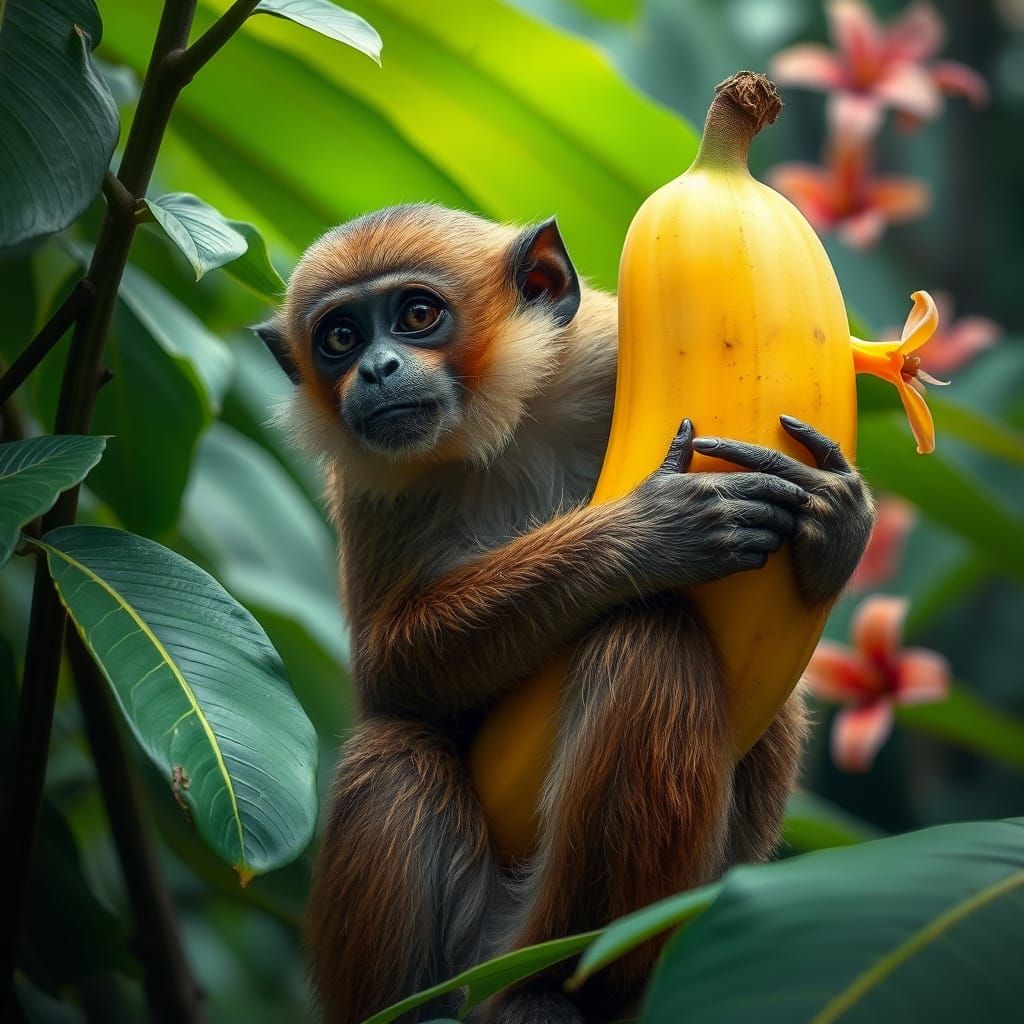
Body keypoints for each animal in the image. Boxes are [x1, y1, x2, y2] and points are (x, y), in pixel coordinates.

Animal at [256, 203, 874, 1023]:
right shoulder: (373, 489)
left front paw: (840, 522)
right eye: (340, 338)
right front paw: (643, 534)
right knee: (404, 749)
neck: (508, 425)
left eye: (417, 315)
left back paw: (565, 980)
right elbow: (388, 677)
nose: (377, 369)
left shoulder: (601, 355)